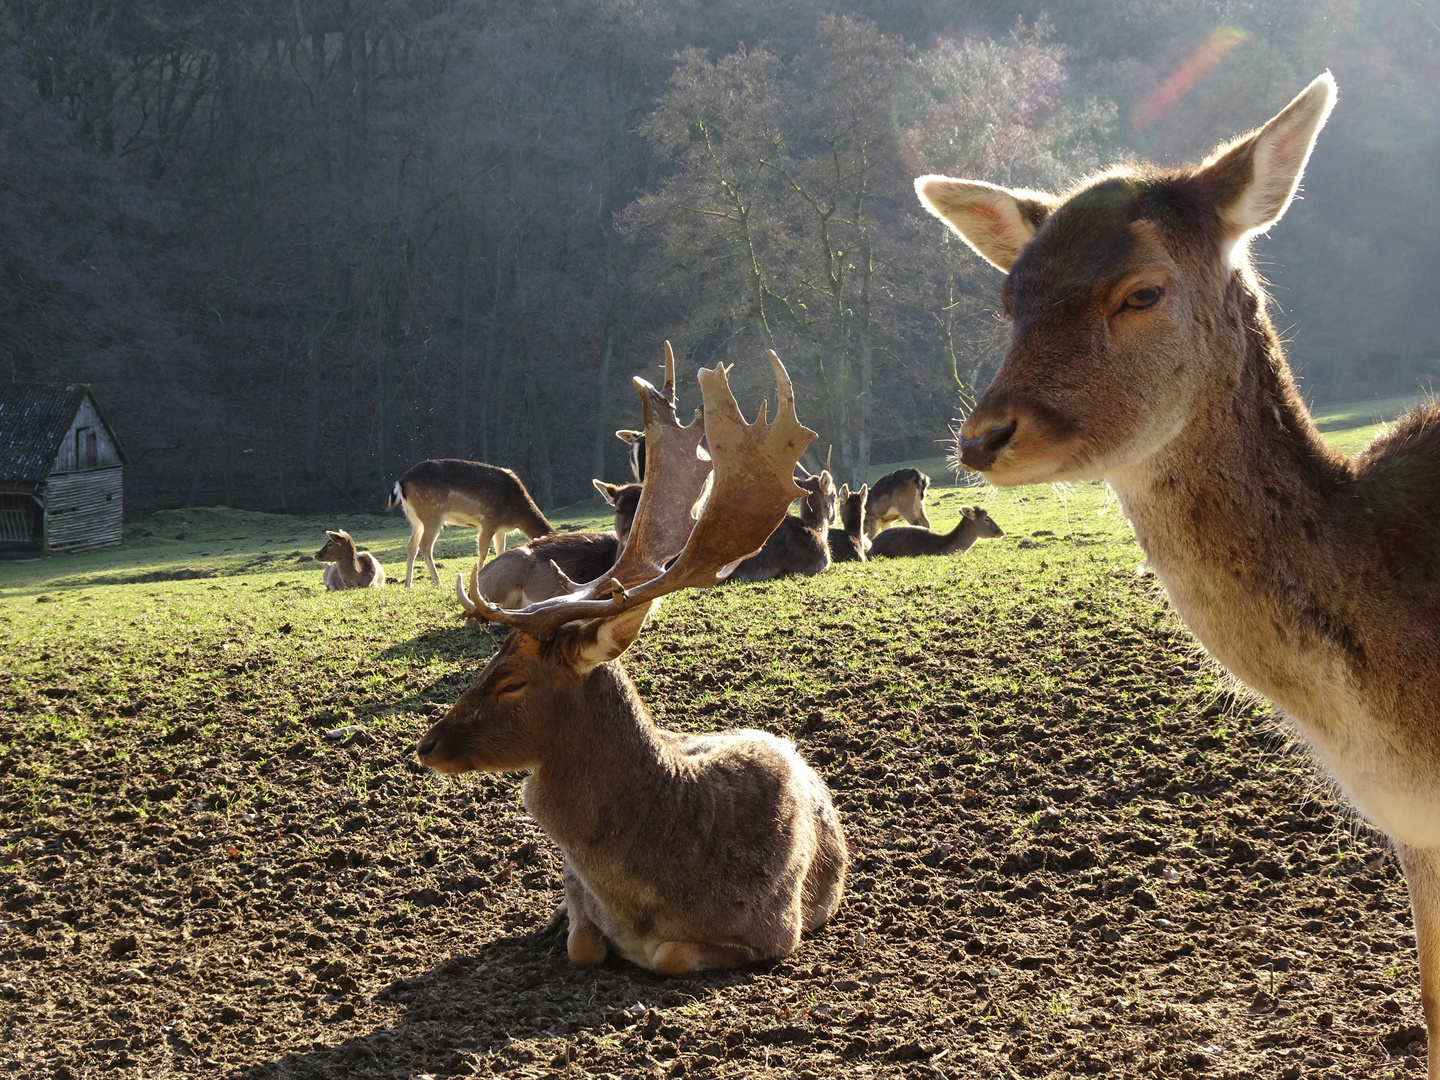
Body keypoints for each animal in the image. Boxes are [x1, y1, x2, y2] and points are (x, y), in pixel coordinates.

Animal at [417, 351, 840, 979]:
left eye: (513, 681)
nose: (427, 745)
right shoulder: (582, 902)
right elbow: (582, 942)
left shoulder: (774, 929)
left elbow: (669, 955)